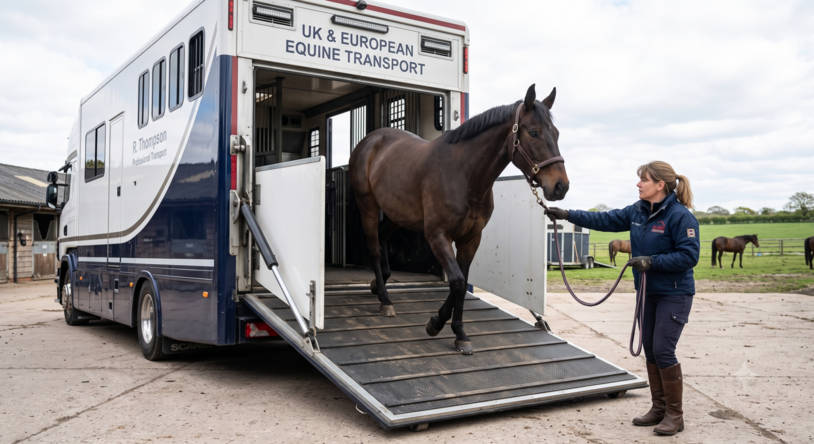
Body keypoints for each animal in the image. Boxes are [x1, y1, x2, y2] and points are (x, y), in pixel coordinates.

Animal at [349, 84, 569, 355]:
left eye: (556, 133)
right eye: (534, 133)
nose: (560, 186)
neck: (464, 175)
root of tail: (369, 140)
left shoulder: (471, 239)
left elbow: (463, 285)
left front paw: (460, 334)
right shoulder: (437, 236)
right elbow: (456, 281)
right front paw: (435, 323)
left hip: (397, 212)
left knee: (382, 236)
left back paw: (378, 283)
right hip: (368, 205)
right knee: (374, 247)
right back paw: (384, 299)